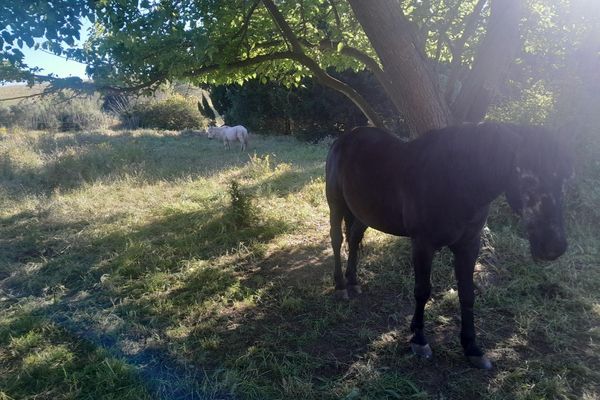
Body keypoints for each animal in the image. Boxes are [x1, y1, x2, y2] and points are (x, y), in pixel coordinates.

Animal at [326, 121, 576, 368]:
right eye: (527, 178)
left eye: (564, 179)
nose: (554, 246)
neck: (455, 181)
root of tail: (346, 138)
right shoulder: (423, 245)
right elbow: (422, 291)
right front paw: (419, 340)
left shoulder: (469, 245)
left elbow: (467, 294)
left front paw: (472, 347)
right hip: (336, 204)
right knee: (338, 241)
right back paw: (340, 286)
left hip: (363, 214)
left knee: (354, 238)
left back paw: (353, 282)